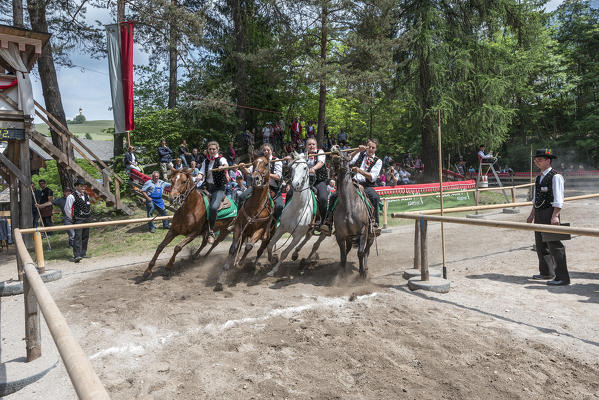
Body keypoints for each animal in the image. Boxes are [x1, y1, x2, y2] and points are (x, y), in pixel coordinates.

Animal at [213, 156, 274, 290]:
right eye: (254, 163)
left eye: (266, 164)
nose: (255, 178)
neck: (256, 206)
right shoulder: (239, 227)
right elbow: (233, 248)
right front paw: (221, 278)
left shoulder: (260, 230)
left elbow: (249, 246)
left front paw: (240, 262)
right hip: (244, 233)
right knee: (239, 246)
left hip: (267, 237)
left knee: (260, 250)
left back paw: (255, 265)